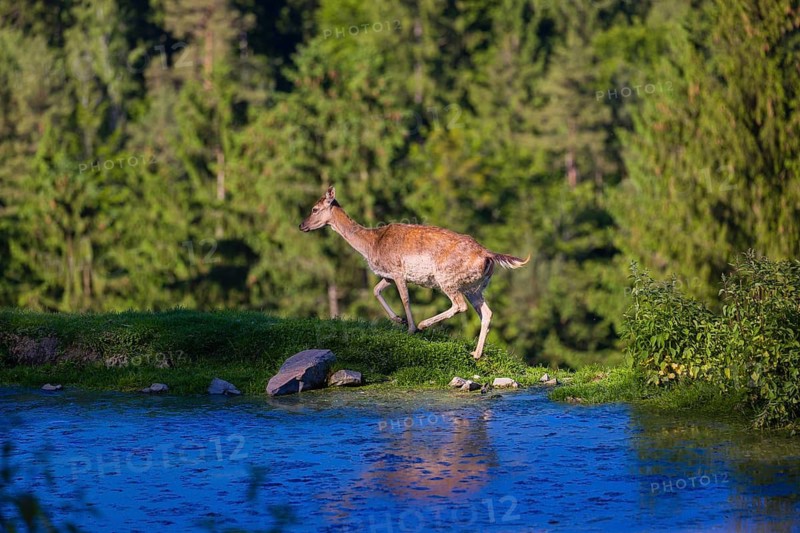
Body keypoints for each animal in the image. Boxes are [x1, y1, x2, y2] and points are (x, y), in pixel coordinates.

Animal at [299, 186, 529, 359]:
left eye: (314, 208)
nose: (301, 225)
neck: (371, 244)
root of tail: (488, 254)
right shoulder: (388, 275)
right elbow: (375, 290)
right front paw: (399, 320)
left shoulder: (397, 271)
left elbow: (405, 298)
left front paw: (410, 328)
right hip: (475, 286)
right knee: (487, 312)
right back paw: (476, 353)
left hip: (447, 277)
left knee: (460, 305)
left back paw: (423, 325)